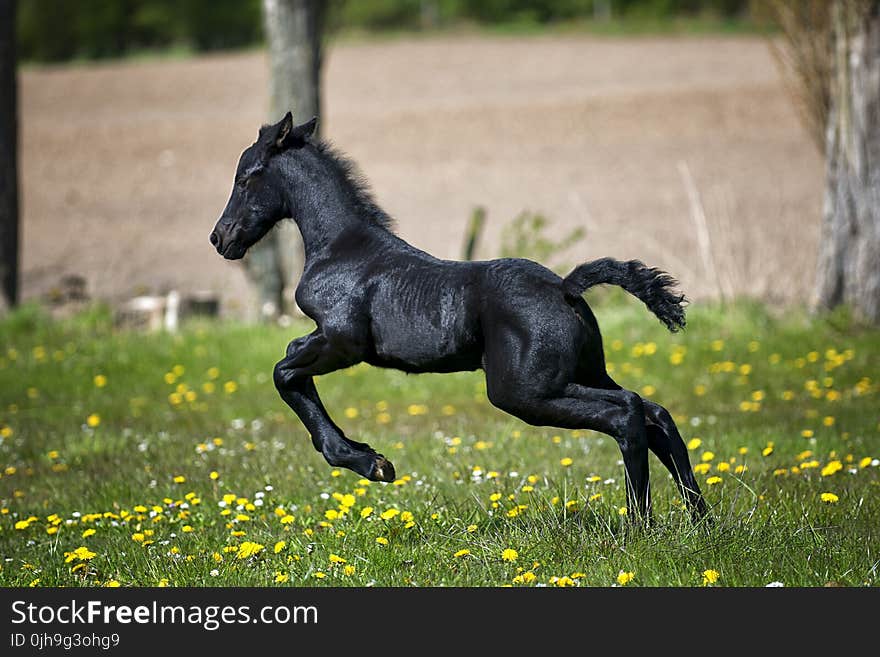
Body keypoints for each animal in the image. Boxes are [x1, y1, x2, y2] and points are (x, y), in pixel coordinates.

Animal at [211, 114, 708, 524]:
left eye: (244, 177)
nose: (220, 238)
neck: (342, 248)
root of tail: (566, 287)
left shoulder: (342, 341)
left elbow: (284, 371)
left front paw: (370, 463)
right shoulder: (327, 341)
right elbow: (291, 366)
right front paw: (368, 457)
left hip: (525, 391)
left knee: (626, 413)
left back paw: (639, 525)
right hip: (581, 373)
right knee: (654, 412)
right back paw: (699, 520)